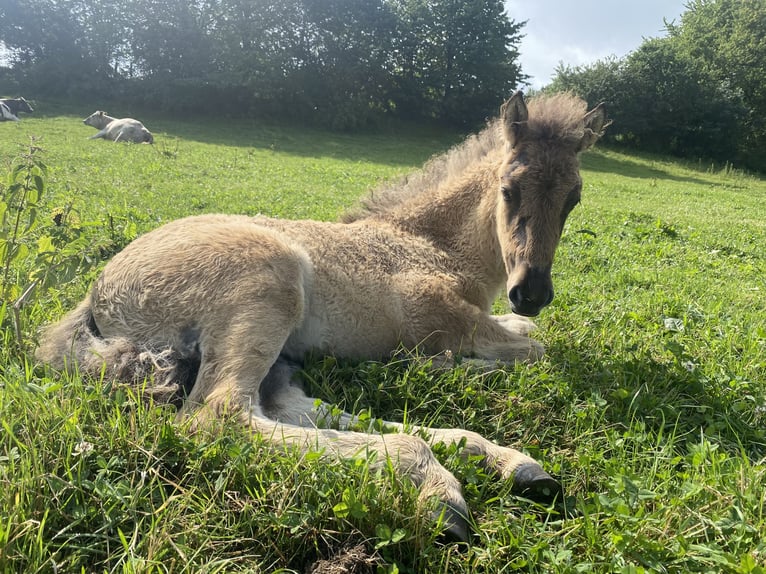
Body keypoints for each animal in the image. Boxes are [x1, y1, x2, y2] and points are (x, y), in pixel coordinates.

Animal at [36, 92, 612, 544]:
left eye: (575, 199)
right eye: (509, 189)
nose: (531, 292)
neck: (433, 247)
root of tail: (98, 297)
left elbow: (529, 336)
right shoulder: (438, 318)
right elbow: (533, 349)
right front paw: (447, 366)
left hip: (271, 354)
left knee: (291, 409)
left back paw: (509, 464)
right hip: (268, 288)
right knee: (220, 416)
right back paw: (435, 482)